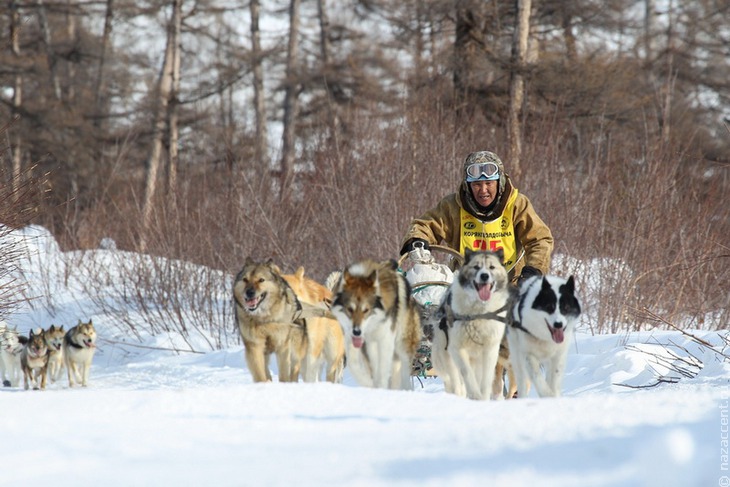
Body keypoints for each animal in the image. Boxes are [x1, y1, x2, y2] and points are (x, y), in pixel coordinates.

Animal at [330, 260, 420, 392]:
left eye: (366, 310)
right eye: (350, 309)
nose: (357, 331)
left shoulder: (385, 339)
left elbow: (382, 370)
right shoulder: (354, 340)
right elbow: (354, 365)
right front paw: (370, 384)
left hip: (402, 343)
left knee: (403, 369)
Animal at [432, 250, 512, 402]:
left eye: (492, 267)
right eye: (476, 267)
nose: (484, 276)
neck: (479, 313)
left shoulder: (490, 350)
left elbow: (486, 379)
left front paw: (483, 397)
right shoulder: (457, 348)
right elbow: (467, 374)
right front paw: (475, 395)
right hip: (447, 356)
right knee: (455, 382)